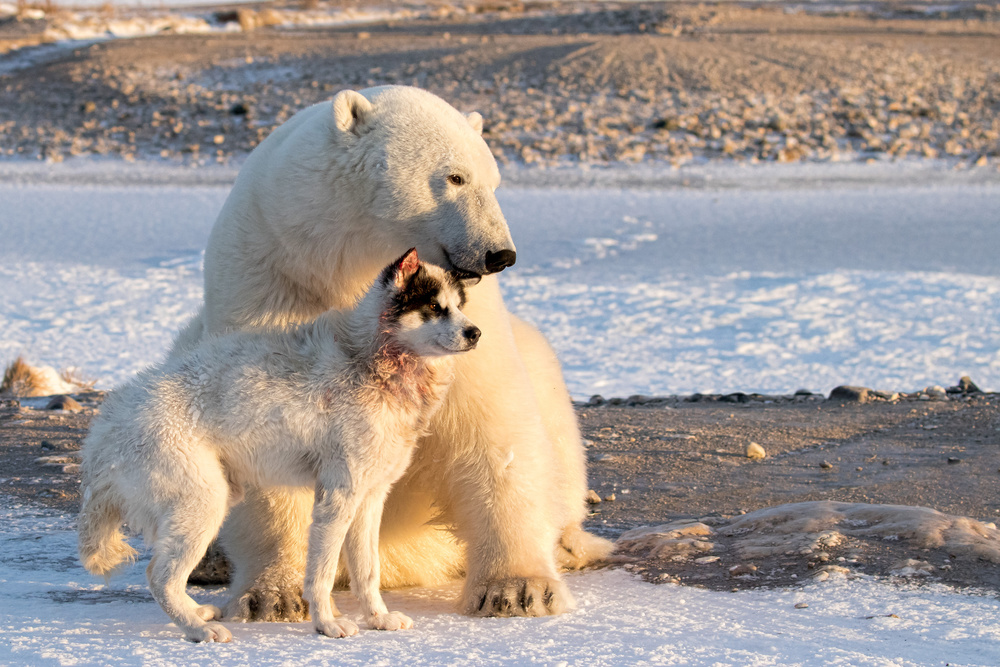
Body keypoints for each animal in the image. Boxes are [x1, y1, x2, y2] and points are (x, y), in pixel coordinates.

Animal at [78, 250, 476, 640]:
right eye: (434, 307)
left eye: (459, 306)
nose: (476, 333)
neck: (369, 361)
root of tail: (107, 427)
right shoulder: (336, 499)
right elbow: (321, 575)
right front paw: (326, 625)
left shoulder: (369, 498)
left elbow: (367, 572)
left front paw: (378, 618)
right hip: (203, 505)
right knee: (160, 577)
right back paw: (198, 630)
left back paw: (198, 614)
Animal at [171, 85, 608, 620]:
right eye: (454, 176)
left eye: (495, 180)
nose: (500, 254)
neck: (341, 265)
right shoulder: (272, 286)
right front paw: (270, 595)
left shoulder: (460, 322)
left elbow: (491, 425)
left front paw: (517, 588)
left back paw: (569, 544)